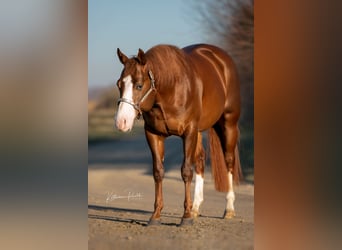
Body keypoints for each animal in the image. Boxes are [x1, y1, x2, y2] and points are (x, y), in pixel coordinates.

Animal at [114, 44, 240, 226]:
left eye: (139, 85)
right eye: (119, 84)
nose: (121, 122)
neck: (171, 88)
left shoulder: (188, 132)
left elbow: (186, 171)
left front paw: (185, 216)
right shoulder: (153, 134)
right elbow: (158, 172)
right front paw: (156, 215)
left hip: (228, 123)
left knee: (229, 160)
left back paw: (229, 208)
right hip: (199, 132)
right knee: (200, 160)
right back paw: (195, 207)